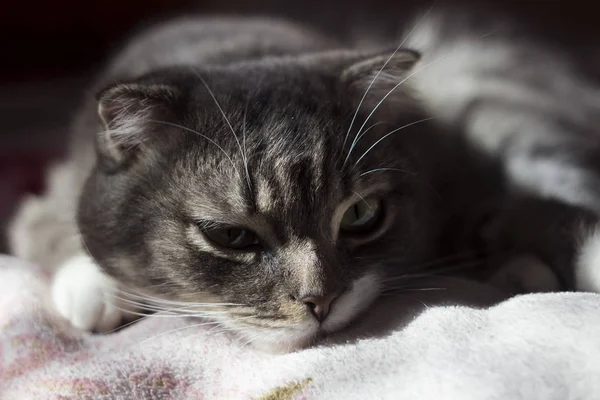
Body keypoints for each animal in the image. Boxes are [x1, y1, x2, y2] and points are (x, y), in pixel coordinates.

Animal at [8, 10, 600, 354]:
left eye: (361, 214)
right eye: (230, 236)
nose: (322, 302)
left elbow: (514, 214)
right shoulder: (51, 194)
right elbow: (53, 229)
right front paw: (94, 292)